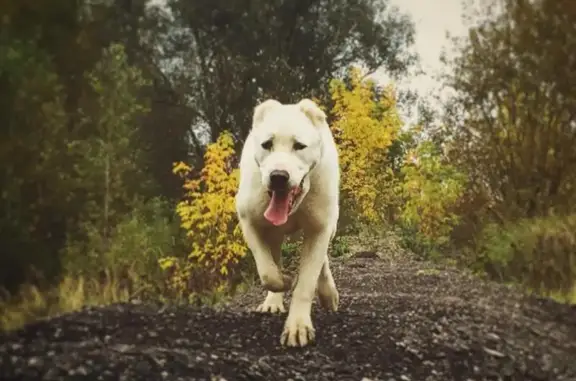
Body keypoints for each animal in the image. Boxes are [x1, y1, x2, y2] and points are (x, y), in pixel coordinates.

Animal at [236, 98, 340, 348]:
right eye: (267, 144)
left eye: (299, 146)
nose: (278, 176)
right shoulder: (249, 221)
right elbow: (267, 272)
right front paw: (284, 281)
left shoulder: (320, 228)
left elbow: (306, 283)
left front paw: (298, 326)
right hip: (273, 233)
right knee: (274, 258)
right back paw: (273, 301)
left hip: (330, 224)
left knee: (322, 260)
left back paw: (328, 293)